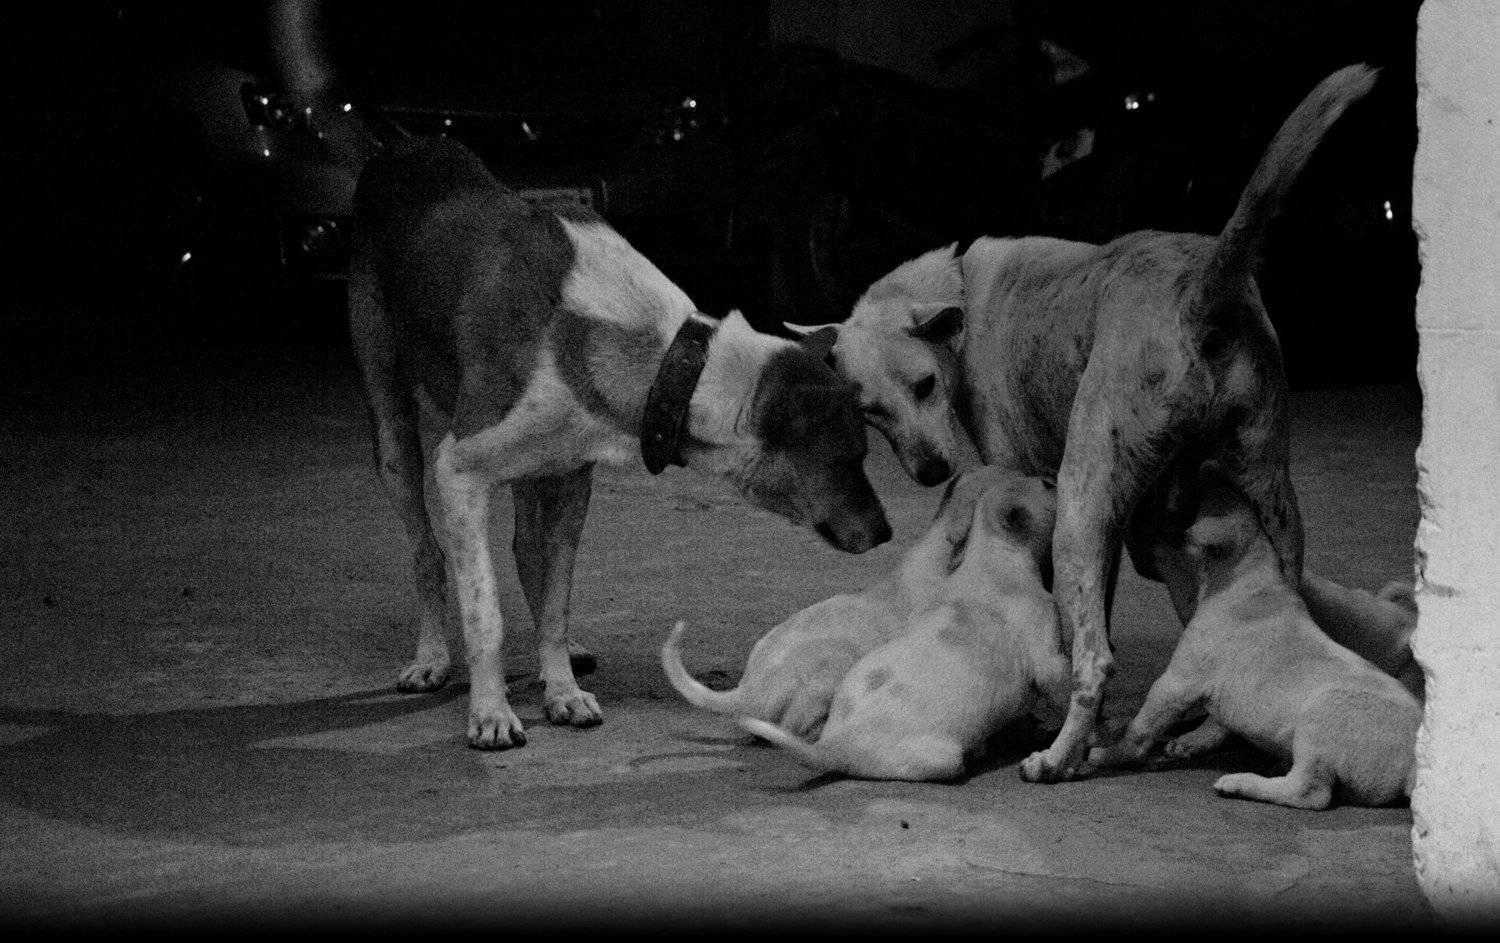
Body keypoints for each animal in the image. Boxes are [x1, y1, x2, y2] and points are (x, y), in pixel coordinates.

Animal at [349, 136, 891, 749]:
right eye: (848, 461)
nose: (887, 533)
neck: (656, 356)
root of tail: (399, 145)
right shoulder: (460, 470)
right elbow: (484, 614)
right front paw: (489, 713)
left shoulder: (571, 476)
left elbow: (556, 602)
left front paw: (561, 688)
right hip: (395, 433)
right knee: (427, 552)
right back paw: (432, 657)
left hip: (538, 468)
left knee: (528, 553)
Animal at [789, 64, 1380, 781]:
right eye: (869, 410)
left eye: (924, 386)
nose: (930, 474)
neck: (962, 300)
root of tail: (1202, 290)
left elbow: (1079, 642)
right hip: (1265, 499)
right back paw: (1185, 737)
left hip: (1081, 501)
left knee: (1095, 662)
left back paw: (1059, 758)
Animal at [1088, 463, 1421, 809]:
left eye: (1193, 502)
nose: (1206, 465)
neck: (1248, 579)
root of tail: (1415, 767)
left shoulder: (1177, 682)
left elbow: (1140, 729)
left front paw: (1110, 754)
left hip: (1322, 717)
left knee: (1309, 792)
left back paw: (1239, 783)